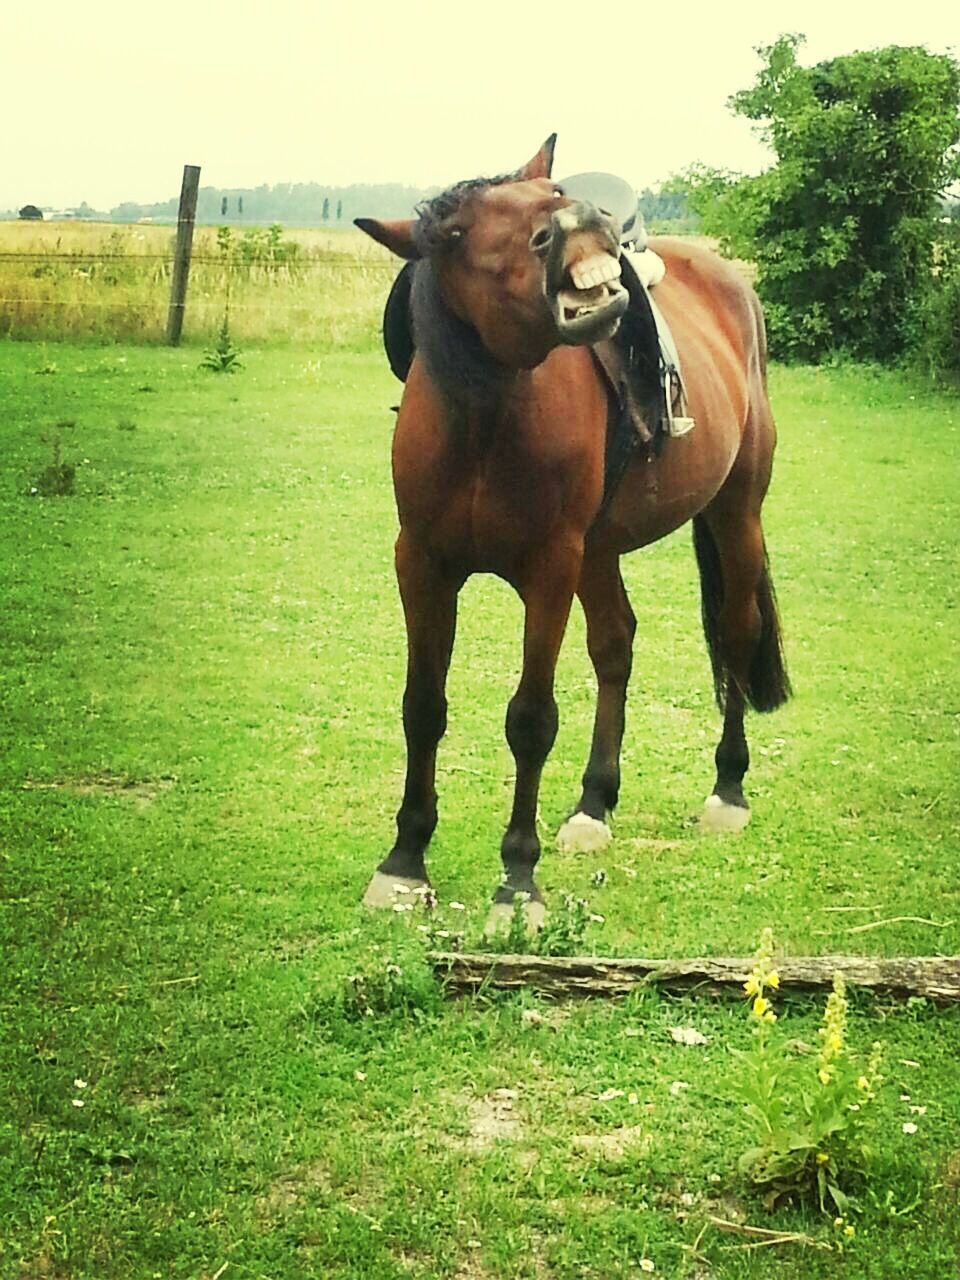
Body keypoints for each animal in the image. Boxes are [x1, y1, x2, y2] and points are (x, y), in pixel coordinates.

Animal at [358, 135, 793, 931]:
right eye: (454, 233)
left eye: (551, 192)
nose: (576, 221)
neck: (486, 421)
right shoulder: (423, 564)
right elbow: (422, 708)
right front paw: (403, 863)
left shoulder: (549, 568)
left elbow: (530, 719)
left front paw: (517, 881)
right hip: (601, 549)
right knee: (616, 646)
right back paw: (595, 803)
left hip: (735, 512)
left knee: (736, 631)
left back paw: (727, 790)